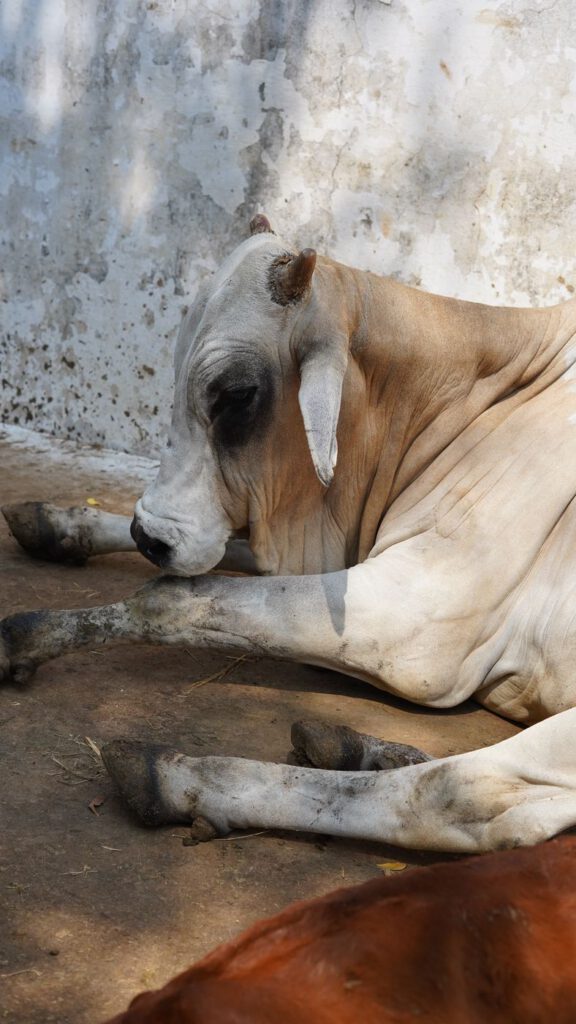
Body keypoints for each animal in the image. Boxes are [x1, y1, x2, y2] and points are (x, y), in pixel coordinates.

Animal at [3, 213, 576, 853]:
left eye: (235, 393)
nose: (149, 535)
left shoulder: (415, 622)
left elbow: (171, 597)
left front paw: (29, 635)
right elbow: (214, 564)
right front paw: (60, 523)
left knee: (465, 795)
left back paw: (177, 775)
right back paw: (353, 747)